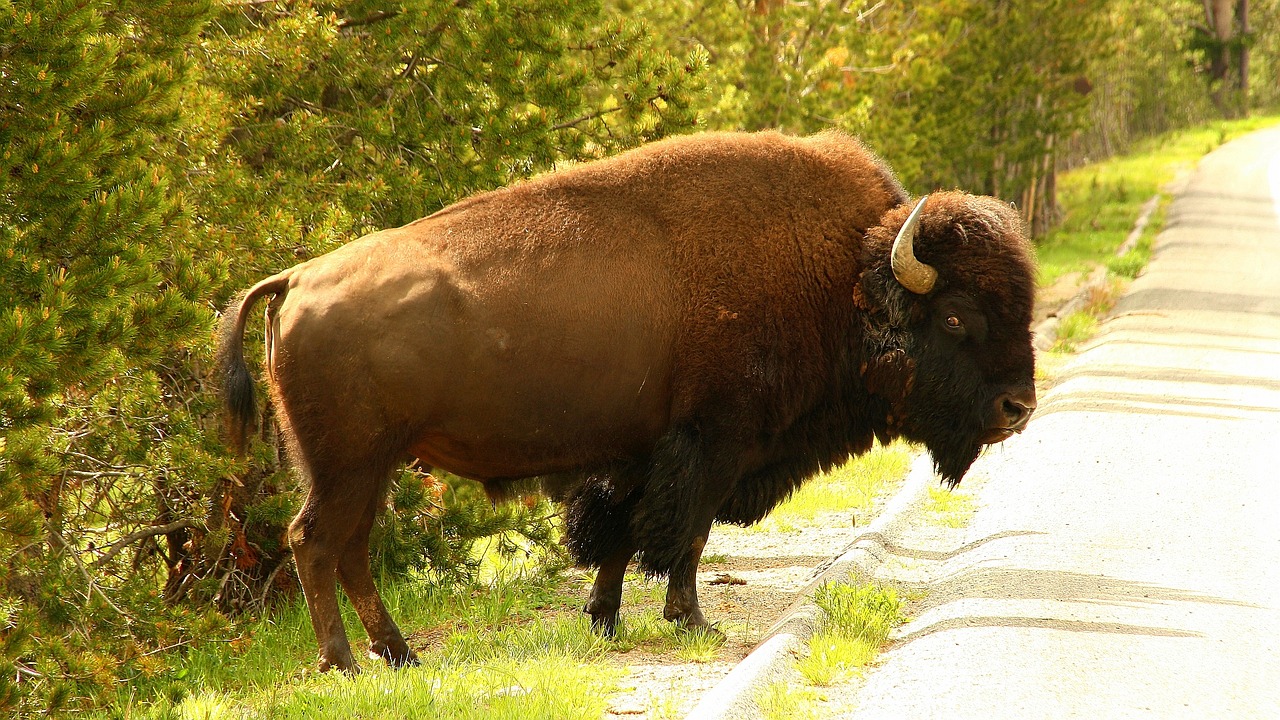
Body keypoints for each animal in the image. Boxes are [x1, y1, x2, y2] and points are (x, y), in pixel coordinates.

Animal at [217, 127, 1039, 666]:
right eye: (958, 315)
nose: (1018, 409)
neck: (843, 278)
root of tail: (295, 279)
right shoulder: (714, 445)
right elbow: (685, 535)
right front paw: (692, 622)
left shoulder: (641, 453)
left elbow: (621, 533)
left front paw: (605, 618)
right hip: (349, 465)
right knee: (316, 542)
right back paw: (344, 662)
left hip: (371, 466)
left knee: (348, 551)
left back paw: (398, 655)